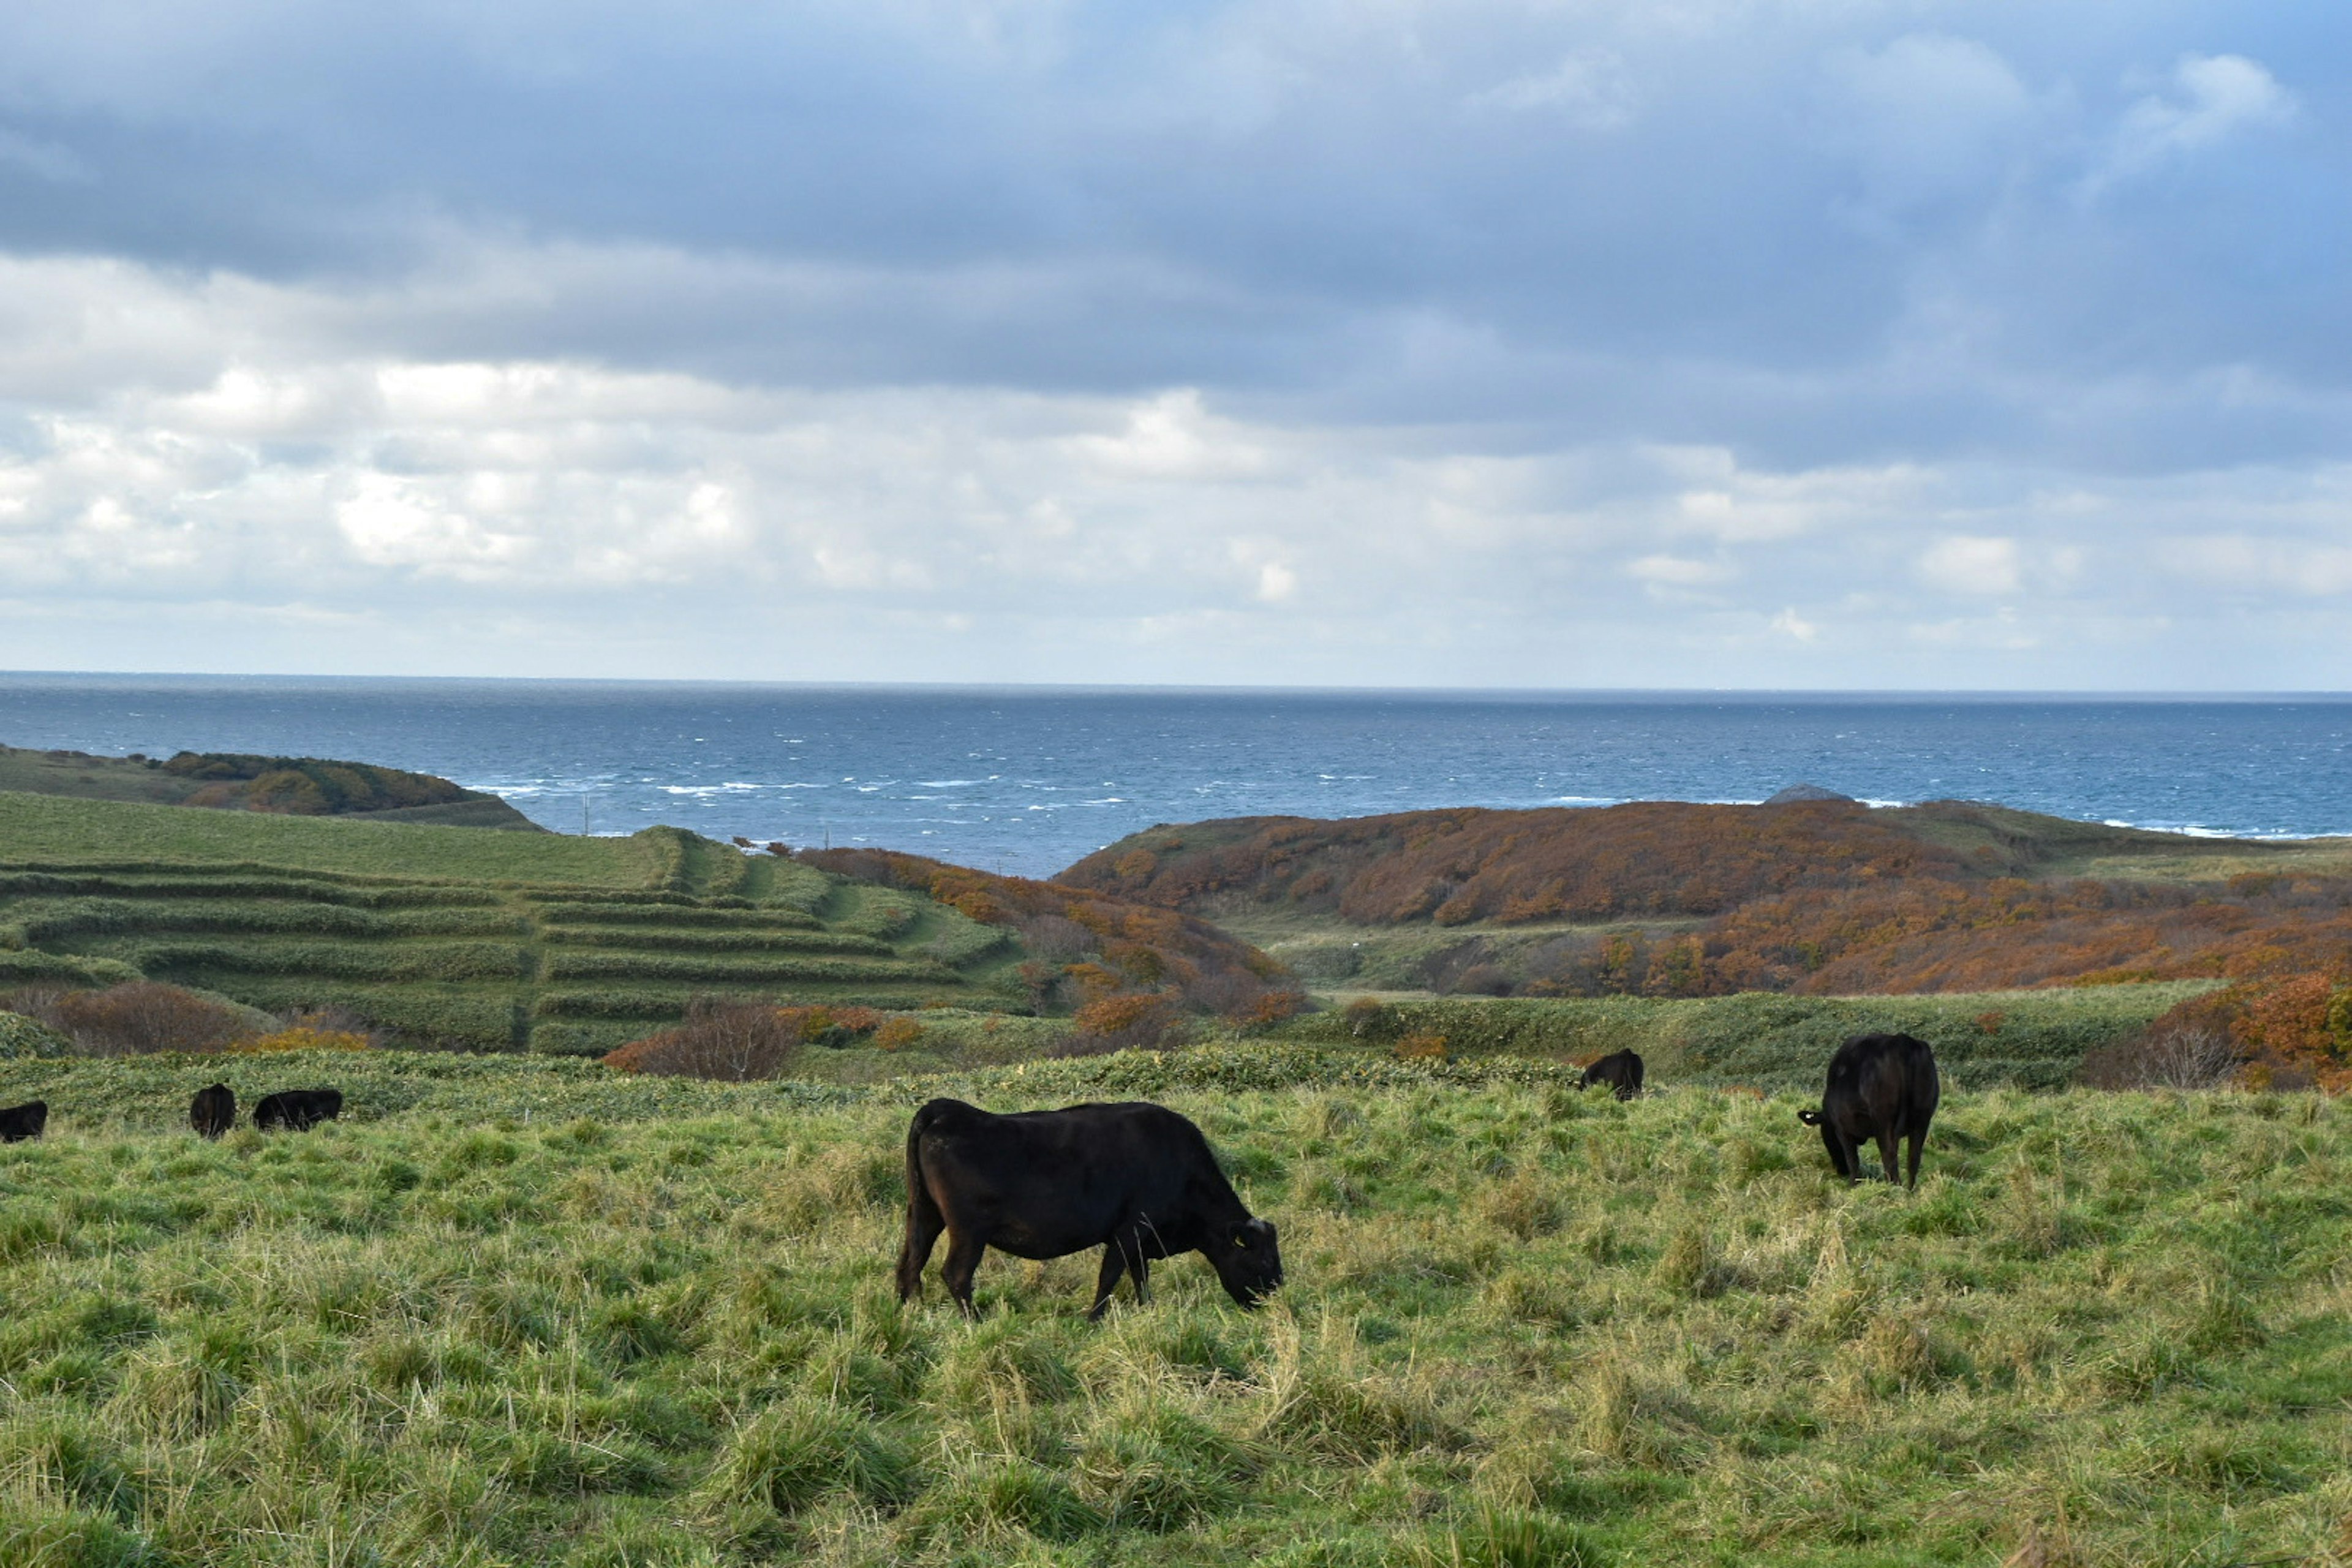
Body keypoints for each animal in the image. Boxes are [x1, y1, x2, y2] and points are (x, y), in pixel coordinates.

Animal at [894, 1104, 1289, 1325]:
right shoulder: (1129, 1229)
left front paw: (1146, 1309)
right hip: (969, 1230)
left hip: (924, 1216)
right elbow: (1110, 1276)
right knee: (956, 1274)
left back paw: (912, 1310)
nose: (1275, 1301)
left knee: (910, 1262)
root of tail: (946, 1110)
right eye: (1265, 1261)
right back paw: (975, 1321)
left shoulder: (1142, 1238)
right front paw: (1093, 1318)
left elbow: (1139, 1275)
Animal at [1787, 1030, 1938, 1189]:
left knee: (1889, 1157)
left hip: (1885, 1122)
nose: (1841, 1171)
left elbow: (1852, 1159)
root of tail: (1902, 1041)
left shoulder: (1842, 1127)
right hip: (1923, 1118)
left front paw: (1853, 1185)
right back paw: (1910, 1191)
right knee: (1913, 1159)